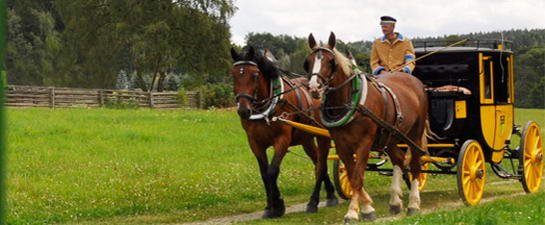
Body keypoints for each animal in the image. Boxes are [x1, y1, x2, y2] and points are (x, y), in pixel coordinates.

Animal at [228, 45, 338, 218]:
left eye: (255, 75)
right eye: (233, 75)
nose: (244, 110)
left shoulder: (282, 139)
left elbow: (272, 171)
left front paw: (277, 205)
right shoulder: (255, 143)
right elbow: (264, 173)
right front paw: (270, 206)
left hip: (323, 137)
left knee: (321, 166)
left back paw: (313, 203)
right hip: (307, 140)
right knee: (317, 162)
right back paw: (331, 194)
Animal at [302, 32, 430, 223]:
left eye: (330, 62)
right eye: (308, 62)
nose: (314, 88)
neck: (350, 102)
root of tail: (415, 81)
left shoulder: (364, 143)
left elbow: (357, 177)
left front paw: (354, 212)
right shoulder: (341, 145)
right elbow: (352, 174)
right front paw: (367, 206)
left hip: (415, 134)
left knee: (415, 164)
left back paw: (413, 204)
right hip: (391, 137)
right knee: (399, 160)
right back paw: (395, 201)